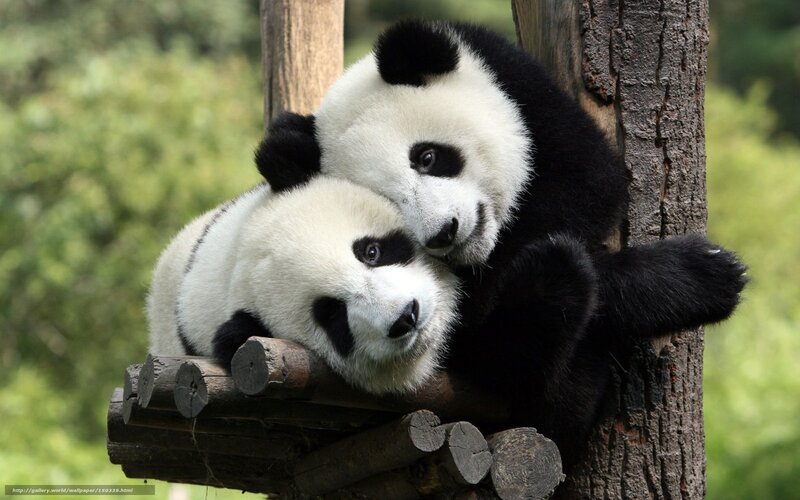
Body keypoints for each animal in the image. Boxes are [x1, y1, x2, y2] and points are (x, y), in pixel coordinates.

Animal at [253, 20, 747, 464]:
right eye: (390, 202)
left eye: (427, 157)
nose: (444, 232)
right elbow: (483, 326)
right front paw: (701, 276)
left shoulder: (522, 92)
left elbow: (589, 182)